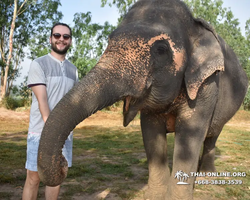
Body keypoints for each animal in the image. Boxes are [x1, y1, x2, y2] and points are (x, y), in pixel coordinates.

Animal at [37, 0, 248, 199]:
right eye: (109, 40)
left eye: (161, 49)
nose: (63, 164)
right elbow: (151, 133)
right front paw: (155, 196)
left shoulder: (206, 83)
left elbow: (190, 133)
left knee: (212, 135)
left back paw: (205, 177)